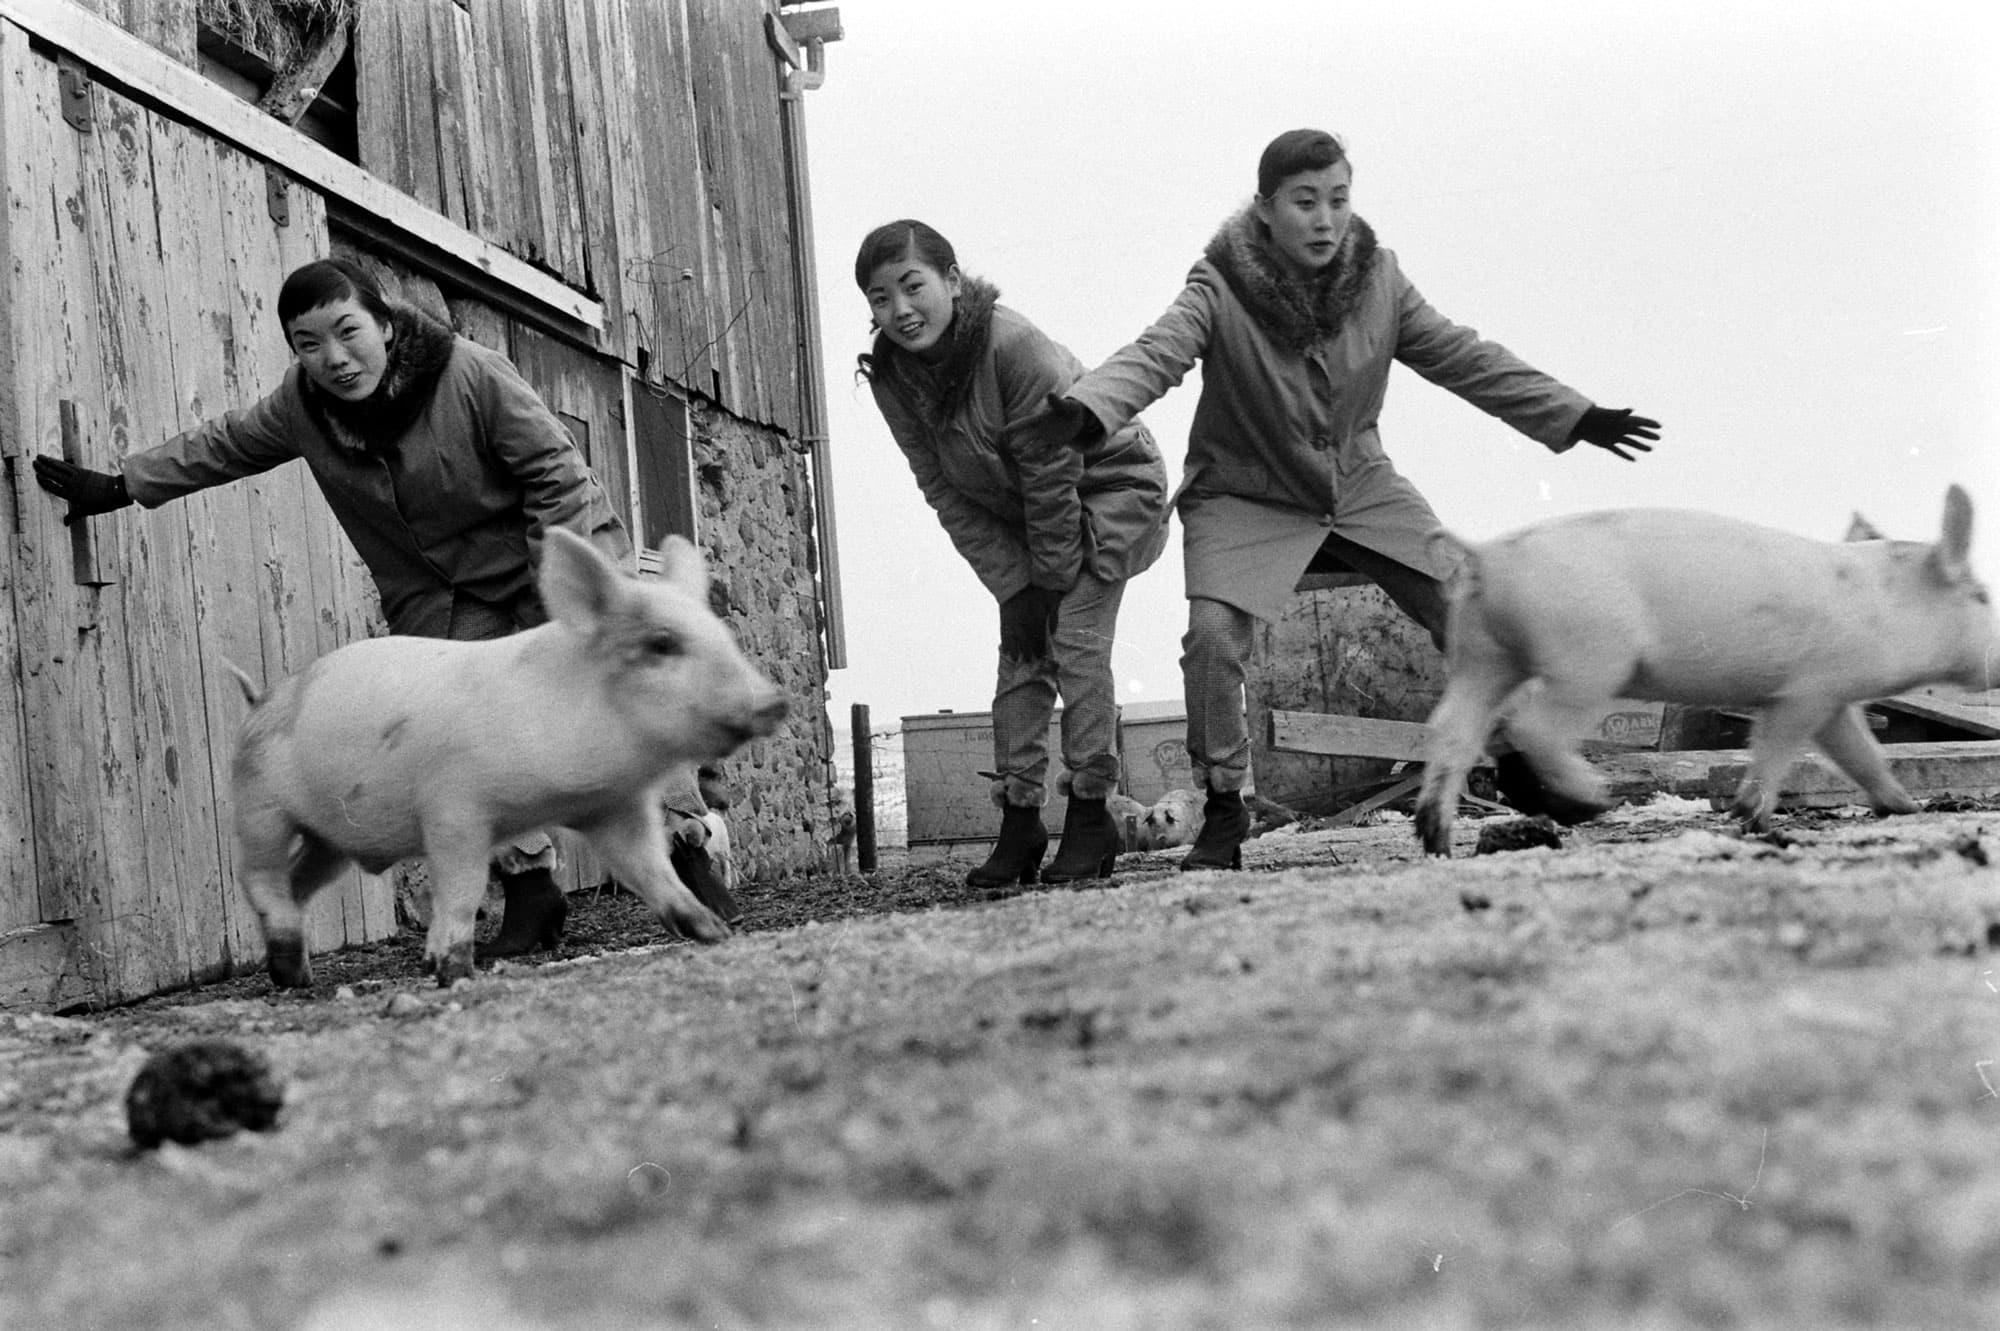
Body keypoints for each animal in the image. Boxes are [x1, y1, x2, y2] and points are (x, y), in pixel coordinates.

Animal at [227, 529, 788, 987]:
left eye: (724, 635)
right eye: (662, 643)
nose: (774, 701)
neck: (555, 796)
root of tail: (258, 703)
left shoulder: (614, 807)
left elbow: (650, 869)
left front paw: (716, 932)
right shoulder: (452, 810)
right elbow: (463, 888)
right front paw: (452, 972)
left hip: (330, 841)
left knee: (297, 882)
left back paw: (293, 974)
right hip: (260, 808)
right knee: (258, 875)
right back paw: (291, 971)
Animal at [1414, 485, 1994, 857]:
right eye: (1983, 596)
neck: (1885, 608)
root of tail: (1485, 555)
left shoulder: (1834, 700)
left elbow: (1863, 754)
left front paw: (1906, 808)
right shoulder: (1806, 690)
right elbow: (1776, 748)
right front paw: (1750, 818)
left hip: (1482, 657)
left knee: (1451, 730)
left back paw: (1437, 842)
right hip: (1585, 660)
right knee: (1530, 727)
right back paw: (1590, 803)